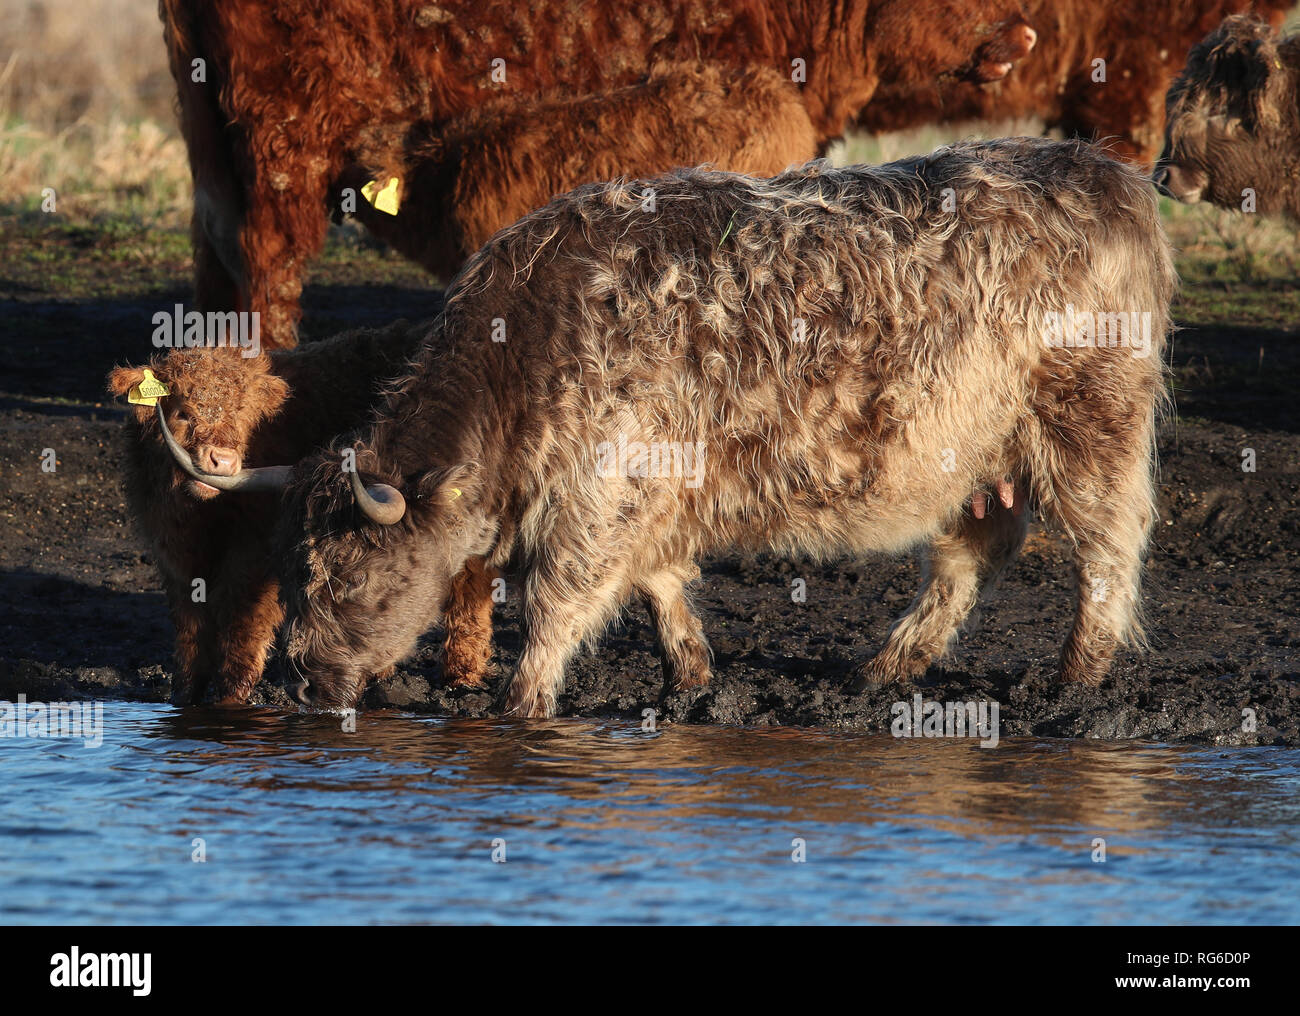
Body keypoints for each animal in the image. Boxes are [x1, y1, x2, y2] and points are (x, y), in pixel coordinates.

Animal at [110, 322, 496, 706]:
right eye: (182, 412)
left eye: (244, 413)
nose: (223, 461)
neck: (204, 518)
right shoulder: (173, 556)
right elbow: (190, 634)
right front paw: (185, 698)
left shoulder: (256, 557)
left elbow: (243, 629)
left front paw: (230, 701)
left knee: (469, 587)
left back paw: (461, 678)